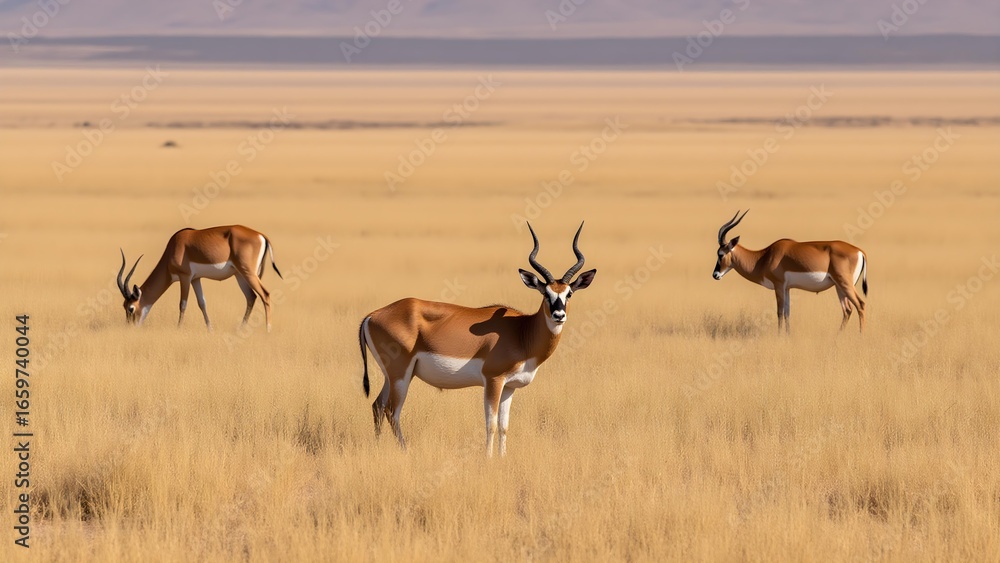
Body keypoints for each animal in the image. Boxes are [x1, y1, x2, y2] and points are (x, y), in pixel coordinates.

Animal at [117, 225, 282, 331]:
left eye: (131, 308)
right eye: (123, 306)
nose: (130, 328)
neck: (176, 245)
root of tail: (262, 236)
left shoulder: (185, 277)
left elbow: (183, 304)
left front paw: (178, 329)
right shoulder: (196, 279)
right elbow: (202, 303)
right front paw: (210, 329)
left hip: (248, 273)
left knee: (265, 295)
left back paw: (267, 330)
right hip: (239, 275)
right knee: (251, 297)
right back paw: (240, 329)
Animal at [358, 223, 597, 457]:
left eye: (569, 294)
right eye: (546, 293)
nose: (559, 315)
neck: (522, 331)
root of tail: (372, 315)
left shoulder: (509, 387)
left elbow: (504, 426)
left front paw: (502, 458)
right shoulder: (493, 380)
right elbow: (490, 424)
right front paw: (488, 459)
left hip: (392, 376)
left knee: (377, 406)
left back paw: (378, 449)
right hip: (401, 375)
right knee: (391, 411)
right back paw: (405, 451)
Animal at [713, 210, 868, 333]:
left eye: (720, 254)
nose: (715, 275)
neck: (764, 257)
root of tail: (859, 251)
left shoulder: (779, 285)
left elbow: (779, 312)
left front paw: (779, 336)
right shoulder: (787, 288)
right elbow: (787, 313)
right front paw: (787, 335)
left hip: (845, 284)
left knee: (860, 305)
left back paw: (861, 336)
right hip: (838, 287)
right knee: (847, 310)